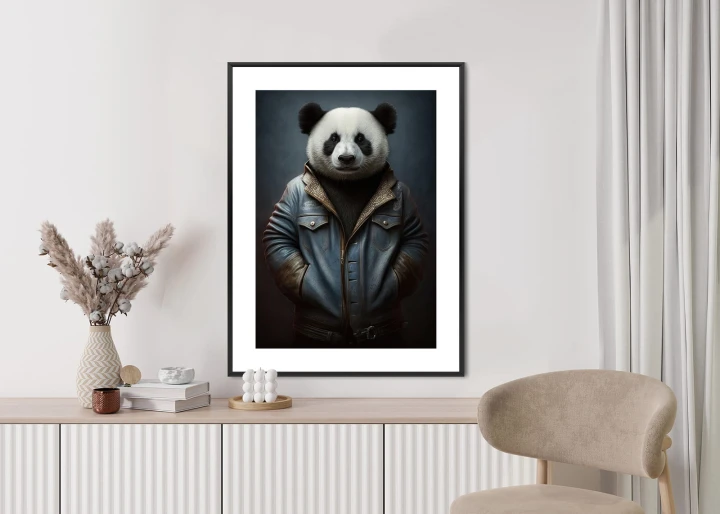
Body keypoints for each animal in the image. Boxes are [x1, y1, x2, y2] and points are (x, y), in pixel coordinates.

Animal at [263, 102, 429, 346]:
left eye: (361, 139)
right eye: (333, 139)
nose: (347, 159)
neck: (348, 182)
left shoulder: (403, 193)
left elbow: (413, 235)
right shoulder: (291, 191)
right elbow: (279, 233)